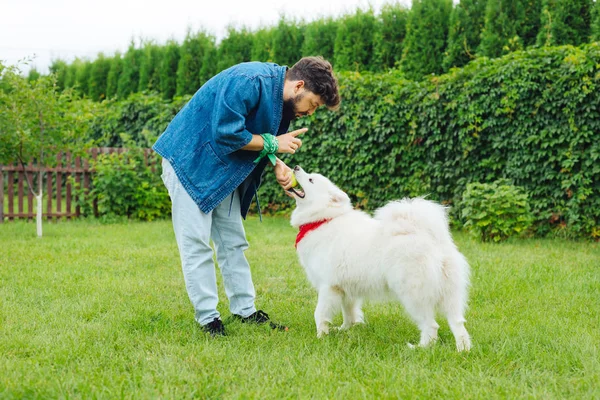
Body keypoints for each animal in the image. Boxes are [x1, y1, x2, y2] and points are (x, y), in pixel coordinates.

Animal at [288, 166, 472, 350]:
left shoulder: (328, 286)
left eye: (311, 179)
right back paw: (463, 350)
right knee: (458, 323)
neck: (322, 219)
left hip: (413, 295)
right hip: (450, 294)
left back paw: (419, 348)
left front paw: (320, 337)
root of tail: (432, 239)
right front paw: (345, 329)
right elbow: (349, 312)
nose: (296, 167)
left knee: (431, 325)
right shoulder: (345, 288)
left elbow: (319, 313)